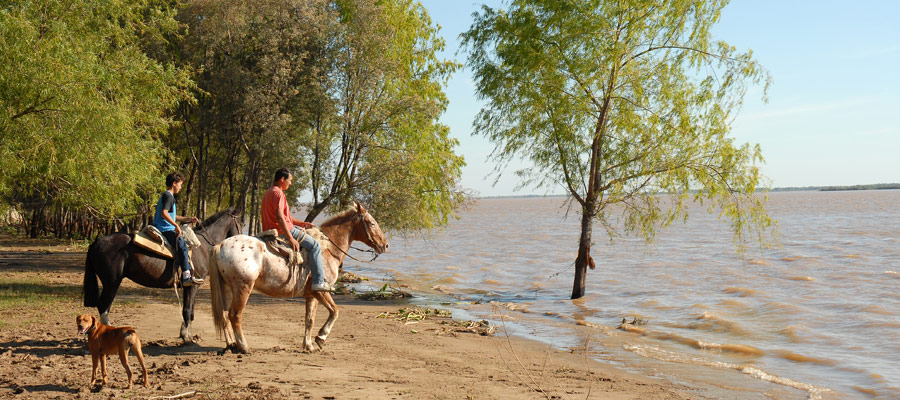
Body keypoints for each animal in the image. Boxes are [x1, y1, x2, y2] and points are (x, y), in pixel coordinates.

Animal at [81, 209, 239, 340]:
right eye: (240, 223)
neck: (202, 246)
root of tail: (97, 242)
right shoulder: (192, 287)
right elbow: (187, 311)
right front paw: (186, 337)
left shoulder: (189, 288)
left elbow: (190, 312)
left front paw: (186, 333)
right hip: (111, 283)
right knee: (103, 306)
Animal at [209, 203, 388, 354]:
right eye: (372, 223)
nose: (385, 245)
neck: (328, 249)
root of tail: (221, 246)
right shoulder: (321, 291)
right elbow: (335, 311)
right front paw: (321, 337)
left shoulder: (312, 294)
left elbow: (310, 319)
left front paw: (308, 346)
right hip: (243, 288)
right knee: (235, 315)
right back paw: (244, 347)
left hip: (227, 288)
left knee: (224, 315)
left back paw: (231, 345)